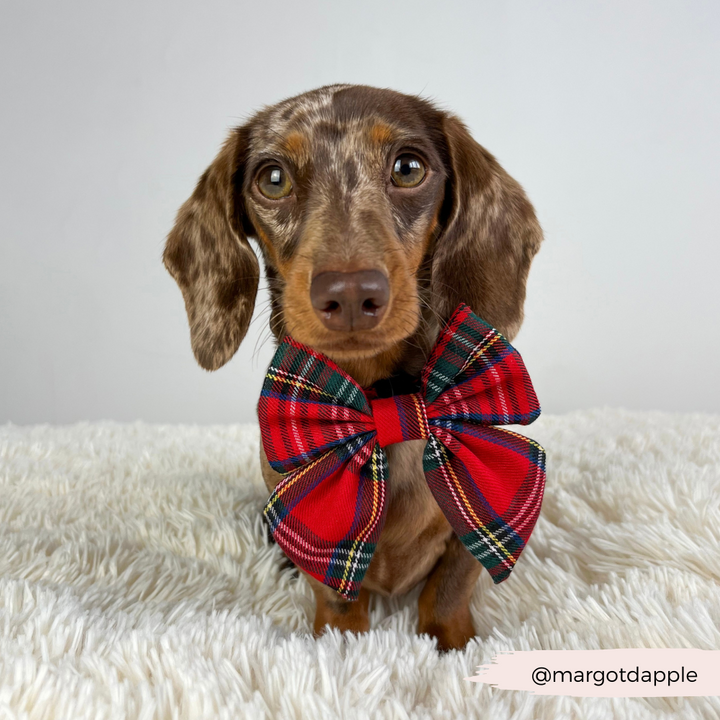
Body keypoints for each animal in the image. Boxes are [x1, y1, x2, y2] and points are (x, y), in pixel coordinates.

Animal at [165, 84, 540, 652]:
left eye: (408, 167)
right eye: (272, 178)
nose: (349, 294)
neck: (382, 401)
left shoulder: (476, 512)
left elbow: (450, 586)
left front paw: (450, 643)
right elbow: (336, 592)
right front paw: (341, 644)